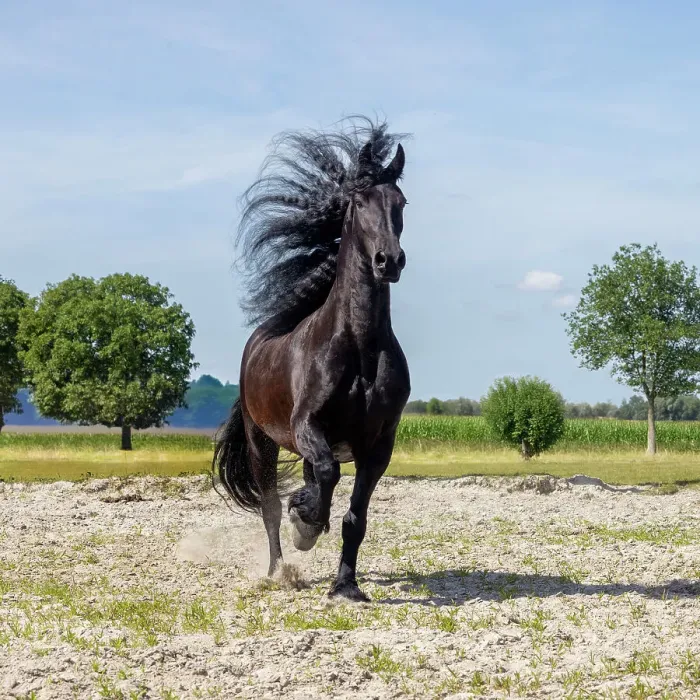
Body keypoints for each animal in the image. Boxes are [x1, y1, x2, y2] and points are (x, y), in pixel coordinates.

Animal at [213, 116, 411, 602]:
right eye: (358, 202)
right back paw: (278, 568)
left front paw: (347, 586)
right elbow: (323, 476)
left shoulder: (378, 445)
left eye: (401, 202)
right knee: (269, 505)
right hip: (261, 441)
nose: (389, 261)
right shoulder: (307, 426)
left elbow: (353, 517)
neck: (359, 348)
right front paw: (303, 521)